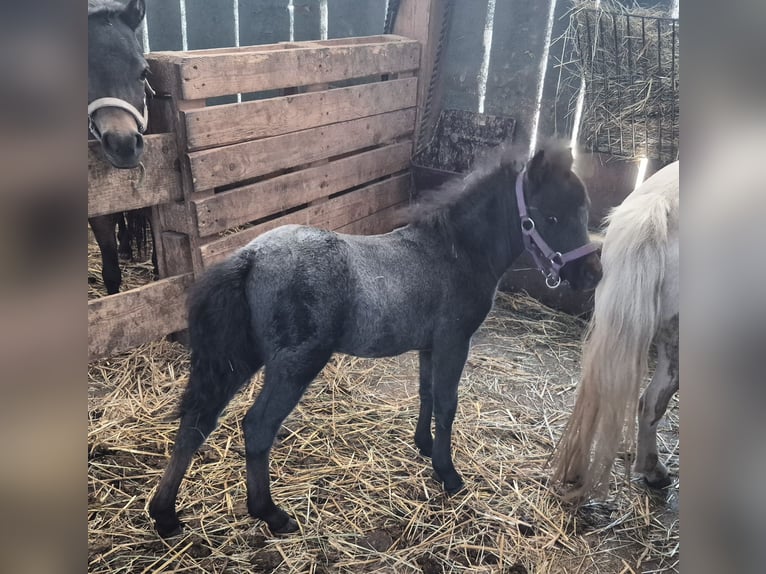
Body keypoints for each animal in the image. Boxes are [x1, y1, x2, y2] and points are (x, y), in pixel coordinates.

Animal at [149, 142, 603, 537]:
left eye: (583, 210)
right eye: (551, 217)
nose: (592, 275)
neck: (454, 253)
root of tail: (250, 256)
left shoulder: (430, 345)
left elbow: (426, 394)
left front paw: (423, 446)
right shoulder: (455, 341)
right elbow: (447, 403)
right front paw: (448, 473)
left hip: (238, 358)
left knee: (197, 421)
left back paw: (165, 515)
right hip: (294, 365)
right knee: (257, 427)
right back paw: (270, 514)